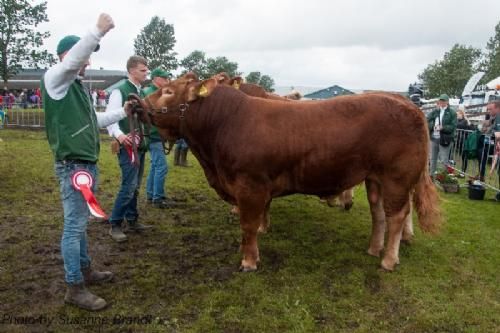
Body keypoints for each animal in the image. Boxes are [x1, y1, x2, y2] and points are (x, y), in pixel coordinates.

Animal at [145, 76, 442, 272]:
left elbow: (247, 224)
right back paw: (373, 248)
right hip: (374, 178)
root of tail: (410, 105)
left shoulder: (250, 185)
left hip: (397, 177)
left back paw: (389, 259)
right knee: (379, 212)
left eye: (168, 91)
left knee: (397, 215)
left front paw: (249, 261)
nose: (138, 101)